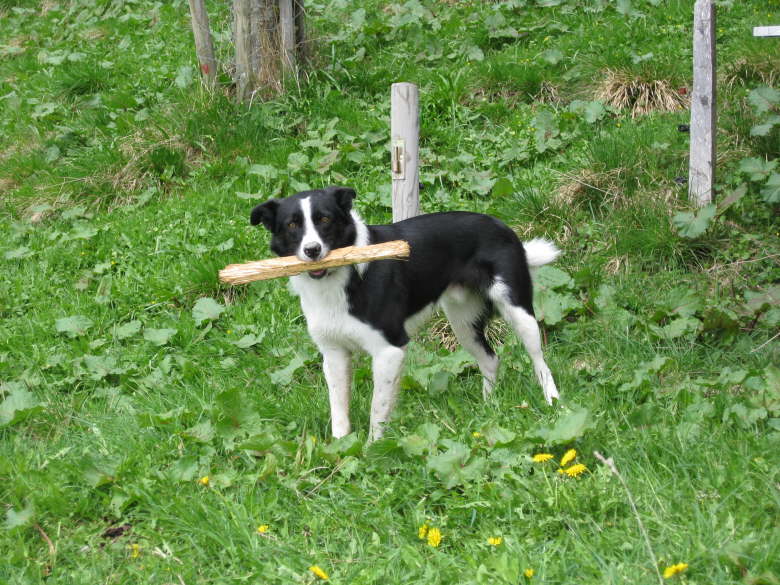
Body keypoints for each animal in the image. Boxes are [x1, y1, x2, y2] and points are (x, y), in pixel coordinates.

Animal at [251, 186, 560, 438]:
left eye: (325, 220)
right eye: (292, 224)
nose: (313, 250)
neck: (338, 280)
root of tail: (501, 225)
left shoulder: (389, 350)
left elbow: (378, 408)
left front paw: (372, 449)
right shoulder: (334, 353)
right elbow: (339, 409)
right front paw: (340, 450)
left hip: (518, 311)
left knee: (540, 362)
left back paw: (552, 401)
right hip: (463, 323)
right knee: (491, 360)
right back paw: (488, 407)